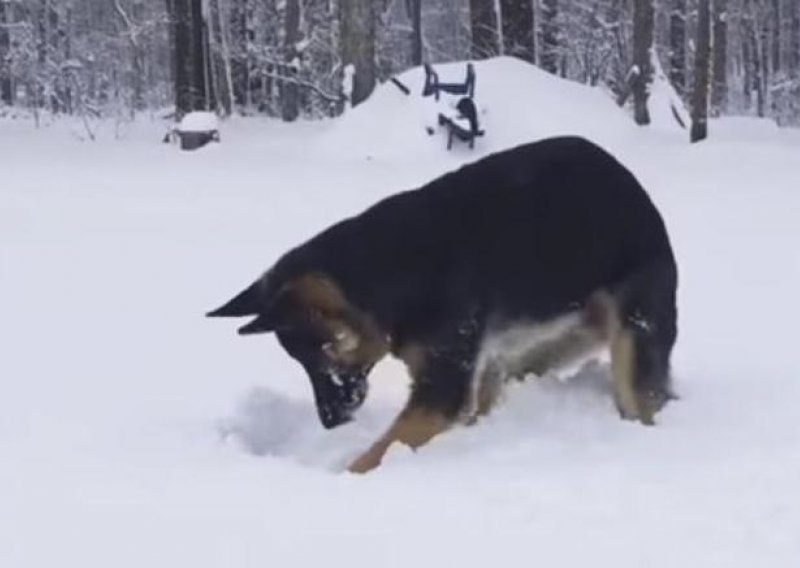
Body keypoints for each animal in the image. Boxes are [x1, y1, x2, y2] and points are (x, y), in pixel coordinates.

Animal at [209, 138, 680, 474]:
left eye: (321, 357)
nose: (329, 423)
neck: (388, 272)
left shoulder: (442, 388)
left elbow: (379, 452)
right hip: (530, 351)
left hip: (630, 346)